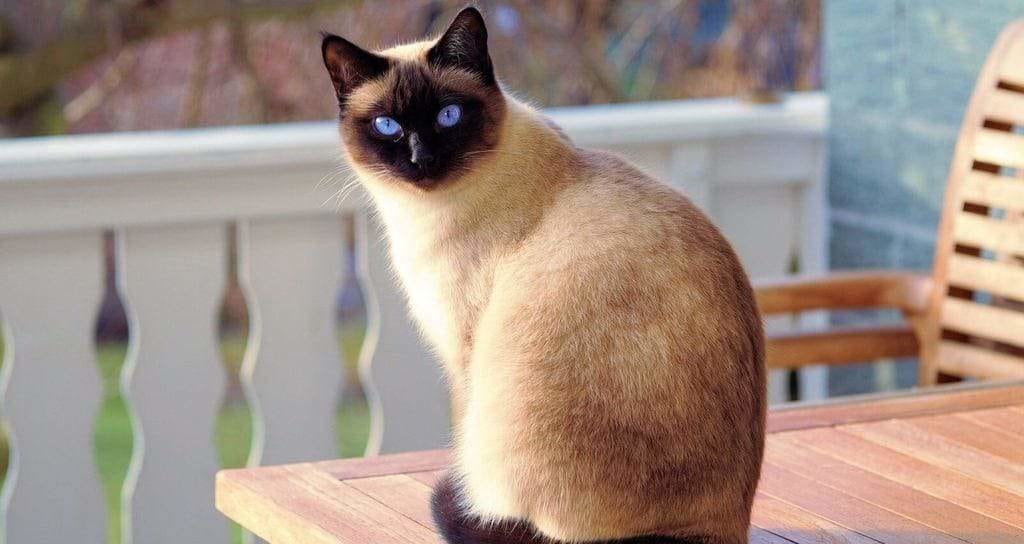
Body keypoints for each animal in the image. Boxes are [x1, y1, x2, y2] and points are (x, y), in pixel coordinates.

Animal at [323, 7, 765, 544]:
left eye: (448, 115)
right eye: (387, 125)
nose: (421, 160)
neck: (423, 213)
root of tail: (720, 530)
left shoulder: (464, 350)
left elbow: (463, 439)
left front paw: (469, 496)